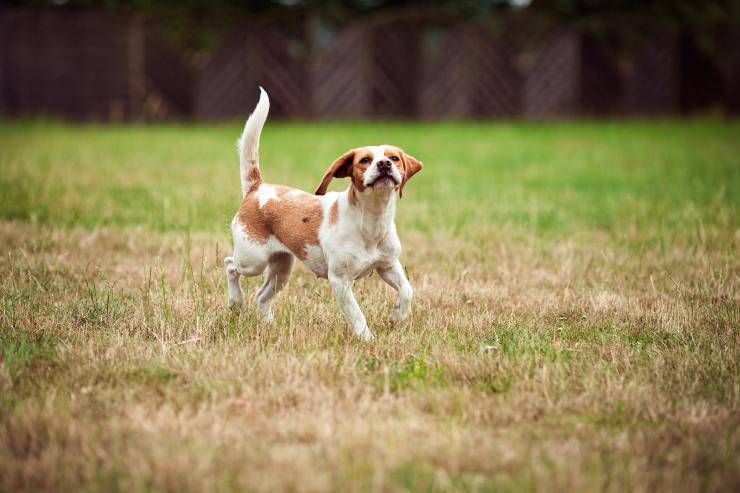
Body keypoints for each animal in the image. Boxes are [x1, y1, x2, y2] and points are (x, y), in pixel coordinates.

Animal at [224, 88, 422, 340]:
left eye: (394, 158)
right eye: (365, 160)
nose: (384, 164)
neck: (371, 220)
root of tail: (257, 188)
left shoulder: (388, 265)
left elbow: (407, 290)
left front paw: (398, 316)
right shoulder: (340, 282)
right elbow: (357, 315)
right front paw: (367, 339)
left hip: (281, 269)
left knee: (261, 296)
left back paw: (268, 324)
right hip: (252, 260)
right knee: (230, 265)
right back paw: (235, 302)